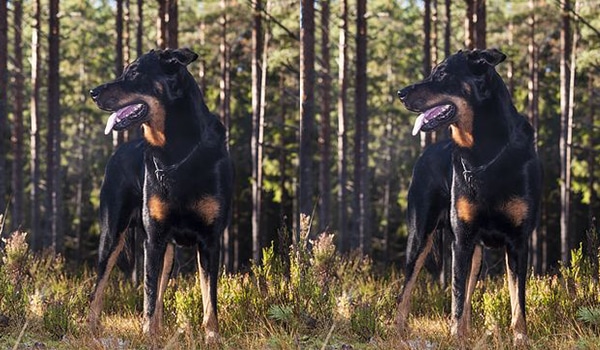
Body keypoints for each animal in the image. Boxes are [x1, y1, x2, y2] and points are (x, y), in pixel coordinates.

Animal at [88, 46, 233, 342]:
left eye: (133, 72)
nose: (93, 92)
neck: (177, 151)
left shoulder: (210, 240)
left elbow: (209, 297)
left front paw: (212, 336)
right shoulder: (154, 238)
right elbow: (149, 294)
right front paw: (148, 336)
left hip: (167, 250)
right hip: (113, 232)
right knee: (99, 286)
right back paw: (91, 329)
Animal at [396, 49, 540, 344]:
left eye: (441, 74)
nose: (400, 93)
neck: (485, 152)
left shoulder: (518, 241)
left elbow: (517, 299)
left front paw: (520, 337)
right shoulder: (462, 239)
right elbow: (457, 296)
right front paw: (456, 338)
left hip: (475, 252)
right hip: (421, 234)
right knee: (406, 289)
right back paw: (398, 331)